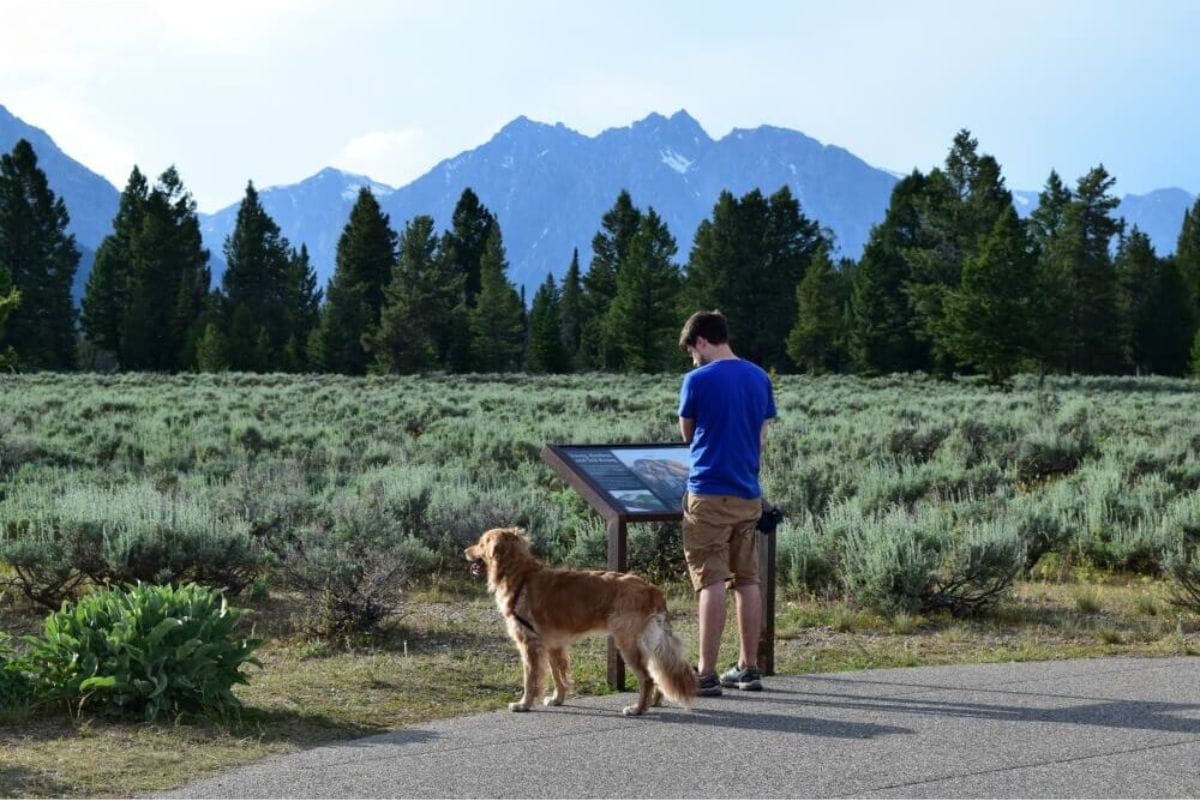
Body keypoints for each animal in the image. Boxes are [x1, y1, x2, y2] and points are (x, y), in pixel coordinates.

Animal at [463, 527, 700, 714]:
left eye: (481, 543)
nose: (465, 551)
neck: (520, 576)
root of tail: (652, 589)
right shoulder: (553, 644)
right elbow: (558, 675)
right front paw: (557, 699)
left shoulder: (529, 644)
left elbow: (530, 679)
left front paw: (524, 704)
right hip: (648, 641)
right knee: (656, 671)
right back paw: (655, 702)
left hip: (627, 642)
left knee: (647, 677)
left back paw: (638, 708)